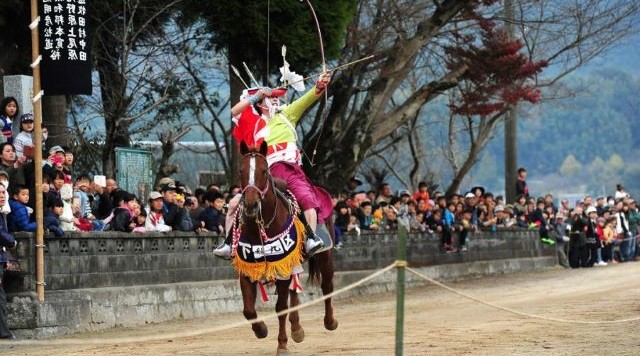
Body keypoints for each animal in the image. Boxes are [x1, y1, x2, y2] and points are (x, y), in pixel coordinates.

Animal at [232, 140, 338, 354]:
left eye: (264, 171)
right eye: (240, 171)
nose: (250, 204)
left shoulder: (282, 266)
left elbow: (281, 307)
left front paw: (282, 344)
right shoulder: (248, 267)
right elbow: (248, 310)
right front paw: (261, 330)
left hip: (325, 254)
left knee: (326, 285)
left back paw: (330, 321)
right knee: (294, 291)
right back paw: (296, 329)